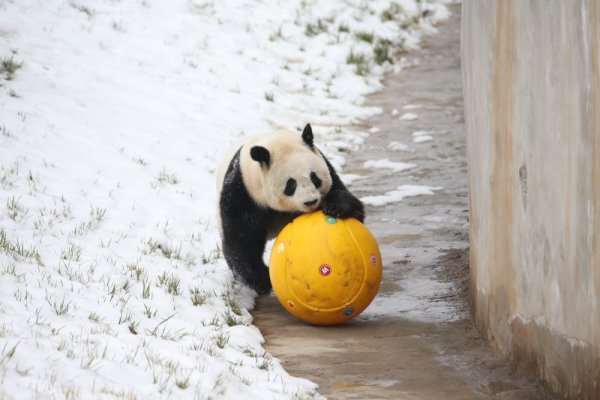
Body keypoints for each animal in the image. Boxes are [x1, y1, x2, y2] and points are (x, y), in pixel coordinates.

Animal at [218, 122, 364, 294]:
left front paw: (335, 207)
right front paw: (264, 280)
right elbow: (241, 238)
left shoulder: (327, 169)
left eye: (314, 177)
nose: (311, 202)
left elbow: (349, 204)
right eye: (291, 184)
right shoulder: (244, 191)